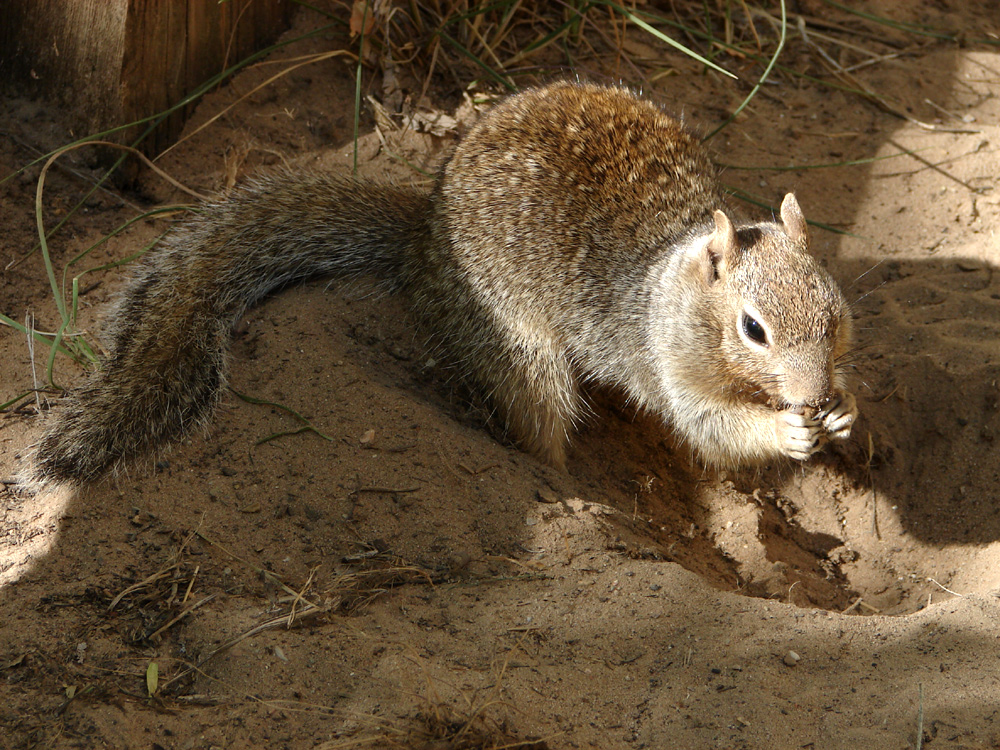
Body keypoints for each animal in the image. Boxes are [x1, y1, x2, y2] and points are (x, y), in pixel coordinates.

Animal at [23, 82, 856, 490]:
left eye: (838, 313)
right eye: (753, 329)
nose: (814, 394)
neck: (674, 282)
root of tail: (423, 234)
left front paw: (844, 412)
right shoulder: (669, 361)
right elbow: (709, 429)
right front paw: (786, 433)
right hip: (518, 352)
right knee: (536, 421)